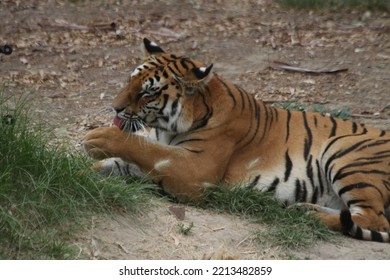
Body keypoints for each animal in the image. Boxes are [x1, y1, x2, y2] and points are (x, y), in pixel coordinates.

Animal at [84, 38, 390, 242]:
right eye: (130, 80)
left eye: (148, 92)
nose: (115, 108)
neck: (167, 127)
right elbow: (120, 161)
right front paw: (81, 174)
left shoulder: (195, 169)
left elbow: (143, 148)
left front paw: (97, 138)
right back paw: (303, 208)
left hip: (345, 153)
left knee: (376, 219)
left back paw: (308, 216)